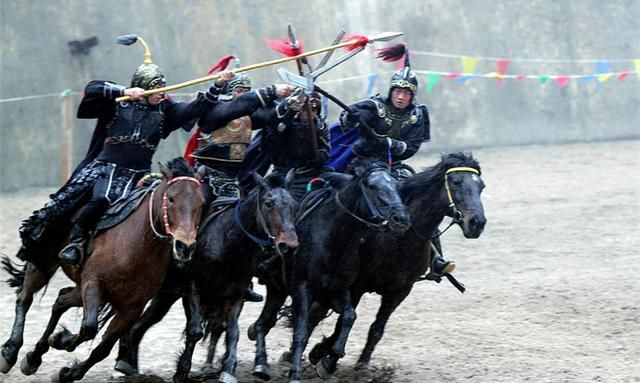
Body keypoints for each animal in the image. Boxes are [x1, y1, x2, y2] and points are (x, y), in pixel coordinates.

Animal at [3, 158, 204, 382]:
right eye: (171, 198)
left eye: (201, 203)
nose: (185, 247)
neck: (138, 245)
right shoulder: (93, 283)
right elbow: (89, 328)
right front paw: (63, 342)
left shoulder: (131, 308)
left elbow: (102, 348)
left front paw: (67, 369)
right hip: (43, 260)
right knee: (25, 298)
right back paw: (11, 352)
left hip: (81, 287)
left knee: (61, 300)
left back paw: (35, 356)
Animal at [112, 174, 298, 383]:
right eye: (268, 203)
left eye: (294, 205)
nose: (289, 246)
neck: (228, 242)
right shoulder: (193, 290)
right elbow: (195, 331)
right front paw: (181, 372)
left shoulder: (235, 296)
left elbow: (233, 332)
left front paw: (228, 371)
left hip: (165, 297)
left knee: (139, 326)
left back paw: (130, 366)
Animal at [246, 158, 410, 382]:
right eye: (372, 186)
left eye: (396, 185)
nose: (401, 219)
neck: (334, 239)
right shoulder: (302, 289)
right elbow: (300, 332)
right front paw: (295, 374)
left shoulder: (337, 291)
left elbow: (349, 316)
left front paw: (328, 360)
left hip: (277, 290)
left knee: (263, 323)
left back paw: (261, 364)